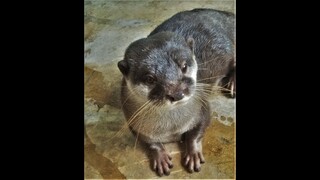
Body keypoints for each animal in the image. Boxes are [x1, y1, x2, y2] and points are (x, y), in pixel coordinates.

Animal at [117, 8, 235, 176]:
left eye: (184, 66)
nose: (177, 93)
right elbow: (149, 142)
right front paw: (160, 157)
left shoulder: (202, 107)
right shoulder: (133, 121)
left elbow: (196, 132)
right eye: (150, 79)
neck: (172, 128)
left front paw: (193, 154)